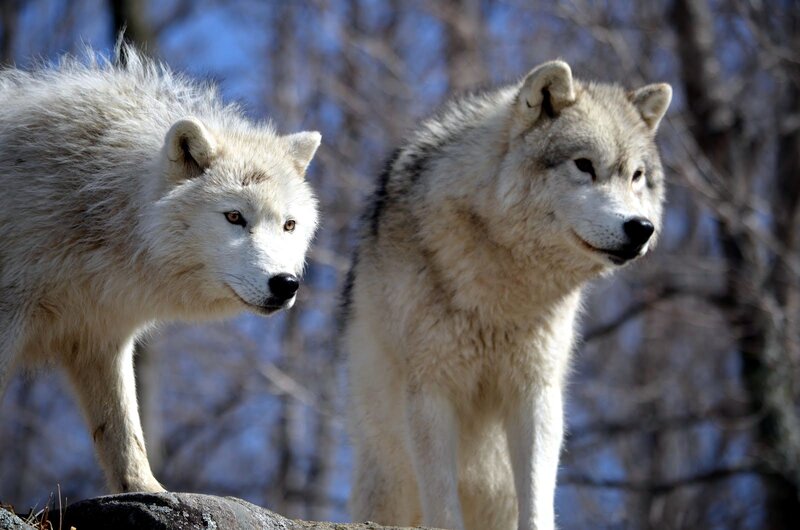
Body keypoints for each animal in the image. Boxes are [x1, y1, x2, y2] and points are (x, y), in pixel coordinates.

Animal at [0, 46, 321, 493]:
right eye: (234, 217)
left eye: (289, 224)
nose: (286, 284)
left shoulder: (101, 336)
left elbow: (123, 431)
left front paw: (150, 493)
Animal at [344, 60, 671, 530]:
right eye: (584, 165)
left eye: (637, 176)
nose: (641, 228)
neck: (500, 292)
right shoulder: (430, 390)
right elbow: (443, 504)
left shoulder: (535, 391)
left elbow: (536, 497)